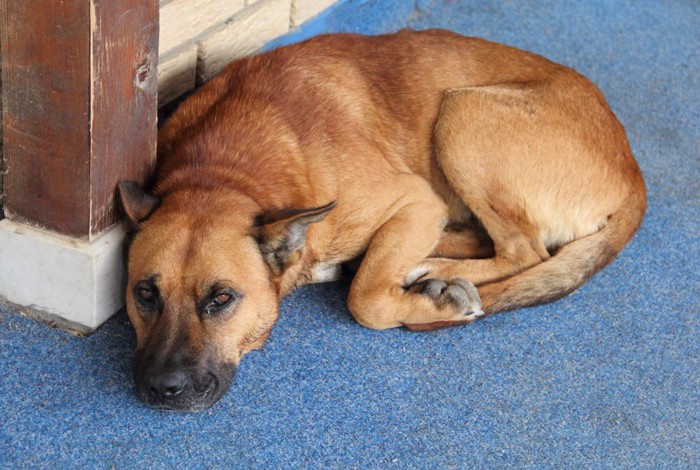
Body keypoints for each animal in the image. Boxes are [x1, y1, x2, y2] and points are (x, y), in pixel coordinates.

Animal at [116, 30, 644, 412]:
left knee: (525, 250)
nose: (162, 389)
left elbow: (365, 301)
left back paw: (435, 271)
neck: (223, 171)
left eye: (222, 298)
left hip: (460, 113)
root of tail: (633, 174)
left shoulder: (416, 201)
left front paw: (426, 301)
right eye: (144, 294)